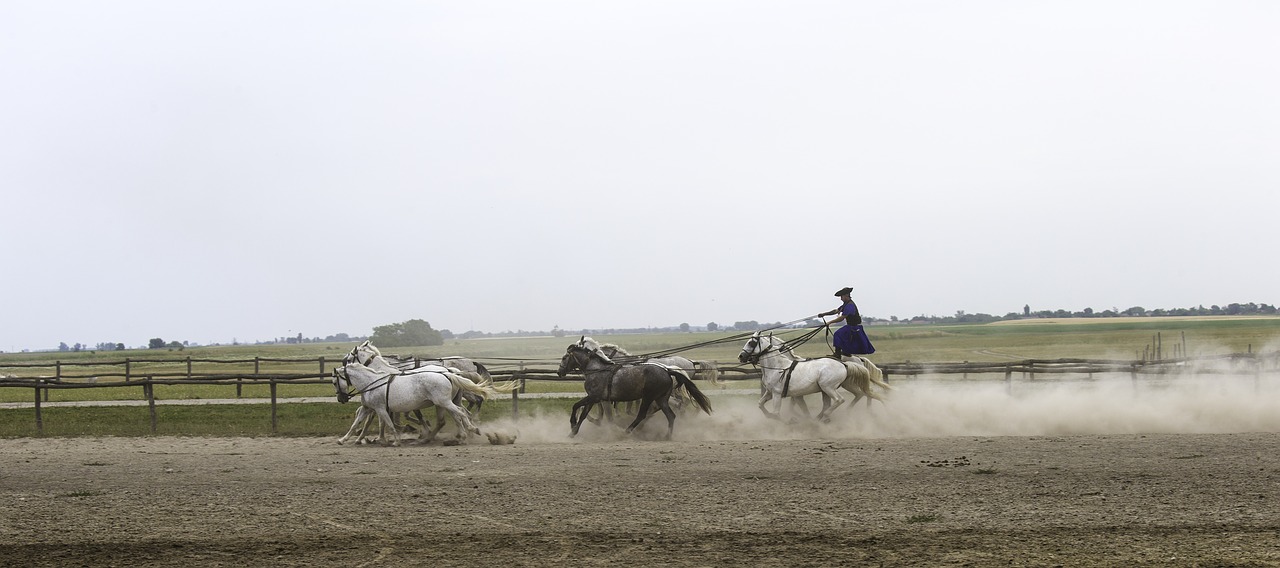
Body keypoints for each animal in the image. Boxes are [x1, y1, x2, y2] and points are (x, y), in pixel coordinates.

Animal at [332, 360, 496, 445]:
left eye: (334, 382)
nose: (341, 399)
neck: (371, 383)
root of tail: (448, 373)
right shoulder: (367, 408)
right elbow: (355, 424)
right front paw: (343, 439)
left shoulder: (380, 409)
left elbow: (389, 424)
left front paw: (396, 441)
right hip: (445, 403)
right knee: (456, 415)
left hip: (443, 401)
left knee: (461, 413)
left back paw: (470, 430)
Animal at [558, 342, 716, 440]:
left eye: (565, 357)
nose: (560, 372)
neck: (598, 369)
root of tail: (667, 371)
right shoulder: (594, 398)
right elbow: (583, 412)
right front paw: (573, 431)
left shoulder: (594, 397)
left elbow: (579, 408)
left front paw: (573, 426)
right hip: (661, 398)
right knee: (671, 415)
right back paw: (667, 436)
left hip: (649, 397)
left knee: (643, 414)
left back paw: (627, 431)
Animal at [742, 332, 890, 422]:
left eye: (751, 342)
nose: (741, 356)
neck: (779, 367)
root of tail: (845, 364)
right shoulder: (772, 392)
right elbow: (760, 404)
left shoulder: (778, 394)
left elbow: (777, 413)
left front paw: (788, 420)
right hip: (839, 386)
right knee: (861, 394)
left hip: (828, 387)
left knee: (840, 400)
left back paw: (826, 416)